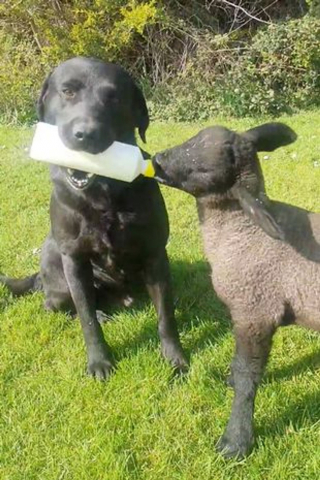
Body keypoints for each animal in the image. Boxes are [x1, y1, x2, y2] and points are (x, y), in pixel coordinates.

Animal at [1, 56, 188, 378]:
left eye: (113, 97)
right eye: (67, 91)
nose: (86, 134)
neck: (103, 192)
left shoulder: (155, 254)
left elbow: (166, 314)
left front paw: (174, 356)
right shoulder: (74, 260)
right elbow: (87, 319)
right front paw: (100, 361)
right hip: (59, 279)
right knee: (60, 306)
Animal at [152, 123, 320, 458]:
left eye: (204, 170)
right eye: (192, 138)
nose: (157, 160)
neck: (243, 231)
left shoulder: (255, 310)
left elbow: (247, 375)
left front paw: (235, 441)